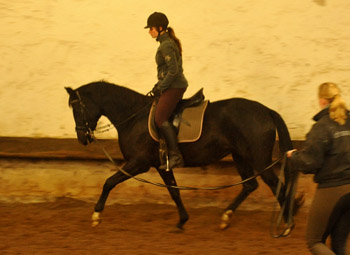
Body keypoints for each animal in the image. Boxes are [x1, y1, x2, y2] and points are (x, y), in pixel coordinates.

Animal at [65, 80, 298, 230]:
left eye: (77, 110)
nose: (82, 138)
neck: (134, 116)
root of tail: (266, 110)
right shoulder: (161, 165)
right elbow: (173, 192)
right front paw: (182, 220)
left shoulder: (139, 163)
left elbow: (109, 182)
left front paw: (96, 215)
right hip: (240, 156)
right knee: (250, 185)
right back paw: (226, 217)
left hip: (258, 158)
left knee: (276, 185)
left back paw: (287, 224)